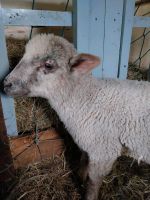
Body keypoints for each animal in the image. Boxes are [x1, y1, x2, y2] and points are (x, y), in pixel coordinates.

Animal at [3, 33, 150, 199]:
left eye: (48, 65)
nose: (6, 84)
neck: (87, 99)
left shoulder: (103, 150)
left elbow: (93, 182)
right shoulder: (88, 144)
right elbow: (83, 162)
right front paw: (79, 179)